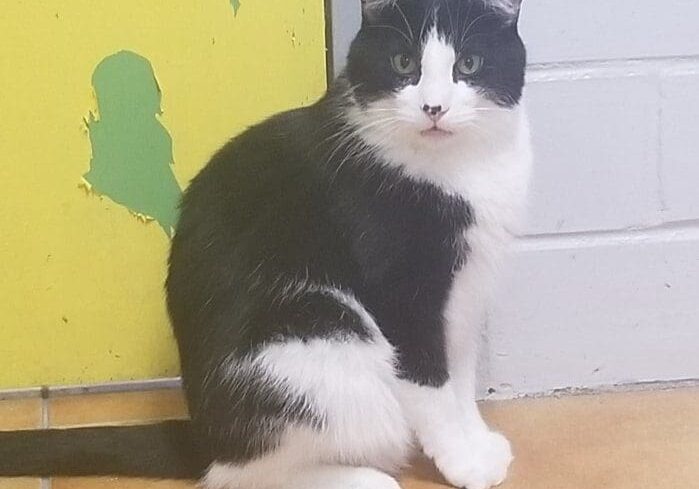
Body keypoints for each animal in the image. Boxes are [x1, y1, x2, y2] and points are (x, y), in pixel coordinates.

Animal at [0, 0, 532, 488]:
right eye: (404, 63)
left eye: (469, 64)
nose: (434, 108)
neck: (458, 168)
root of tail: (203, 435)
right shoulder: (403, 293)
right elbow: (432, 385)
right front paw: (463, 462)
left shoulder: (463, 295)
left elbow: (459, 376)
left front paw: (478, 443)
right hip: (322, 342)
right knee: (239, 474)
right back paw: (361, 479)